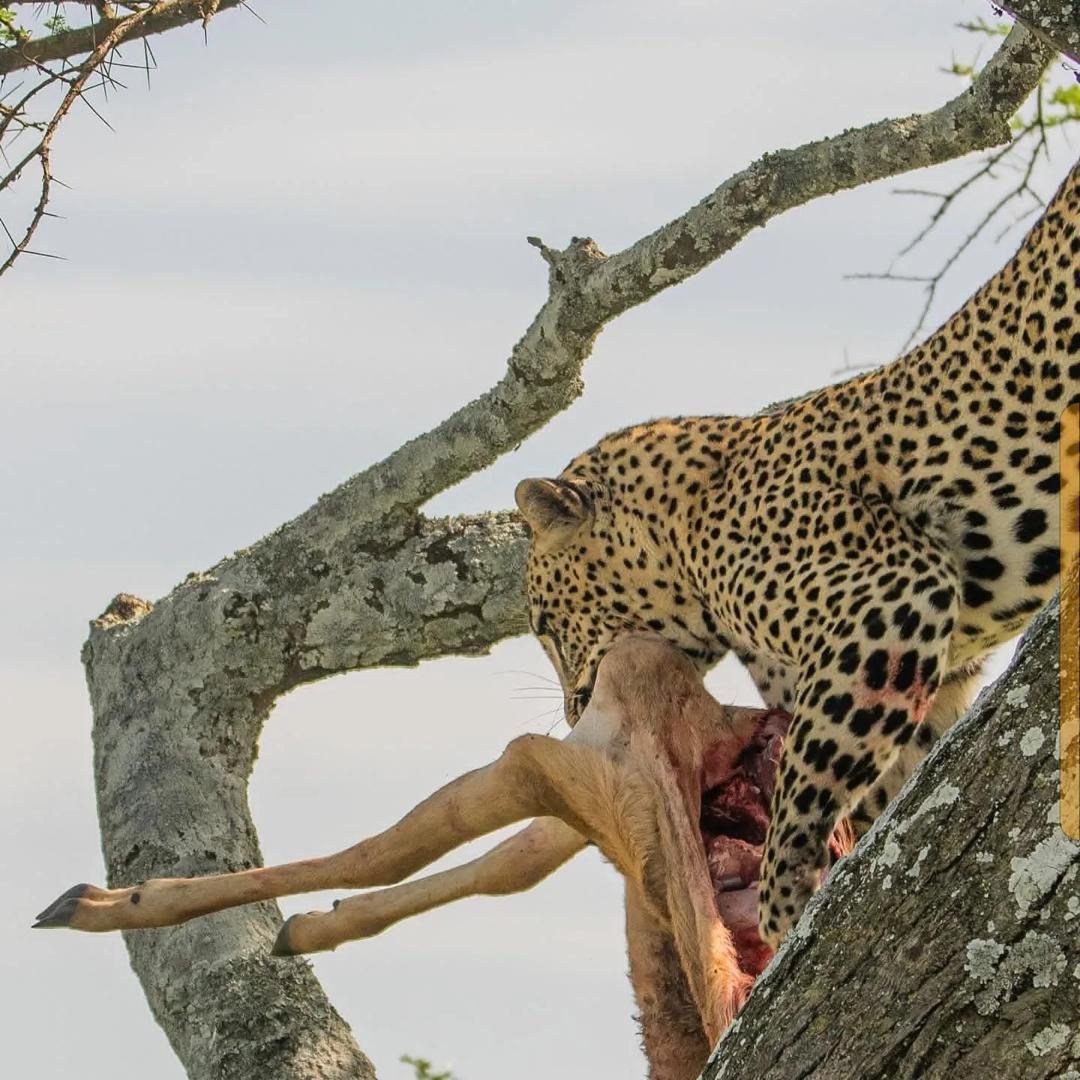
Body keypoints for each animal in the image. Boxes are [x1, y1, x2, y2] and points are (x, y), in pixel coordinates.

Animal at [514, 157, 1080, 950]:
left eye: (542, 622)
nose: (571, 713)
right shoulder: (927, 672)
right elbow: (888, 787)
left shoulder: (889, 597)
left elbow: (802, 787)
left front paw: (785, 916)